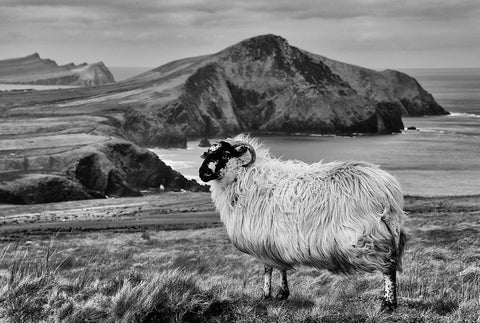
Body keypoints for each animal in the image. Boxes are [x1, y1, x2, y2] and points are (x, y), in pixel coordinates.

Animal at [197, 134, 406, 312]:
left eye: (225, 154)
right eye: (207, 153)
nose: (202, 173)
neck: (245, 178)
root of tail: (388, 189)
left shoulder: (263, 240)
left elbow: (267, 268)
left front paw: (266, 295)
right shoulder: (275, 241)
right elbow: (281, 267)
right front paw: (282, 294)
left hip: (371, 237)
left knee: (389, 268)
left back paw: (388, 304)